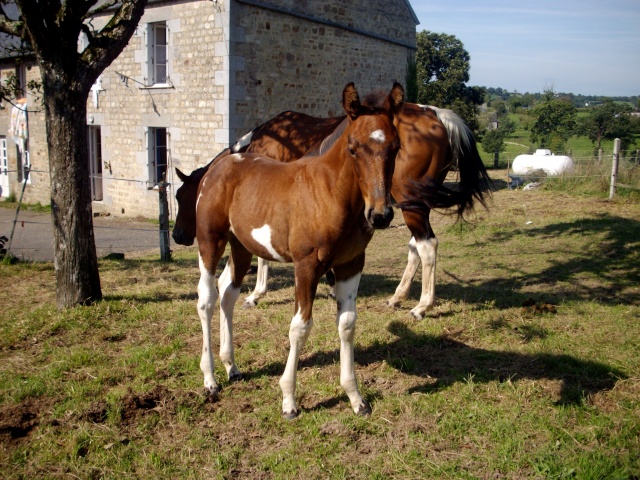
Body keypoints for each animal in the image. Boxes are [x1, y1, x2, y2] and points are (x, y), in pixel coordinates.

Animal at [171, 97, 490, 318]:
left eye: (181, 196)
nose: (177, 236)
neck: (256, 145)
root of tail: (436, 114)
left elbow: (263, 256)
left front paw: (257, 294)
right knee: (416, 245)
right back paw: (398, 297)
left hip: (410, 202)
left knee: (427, 245)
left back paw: (422, 305)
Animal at [196, 82, 404, 416]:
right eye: (353, 148)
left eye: (395, 148)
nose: (380, 215)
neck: (331, 194)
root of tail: (222, 164)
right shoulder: (306, 266)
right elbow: (300, 327)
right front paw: (289, 401)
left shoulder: (351, 264)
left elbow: (347, 324)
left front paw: (356, 398)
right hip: (210, 240)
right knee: (206, 299)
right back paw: (210, 379)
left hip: (241, 245)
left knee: (228, 291)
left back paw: (232, 367)